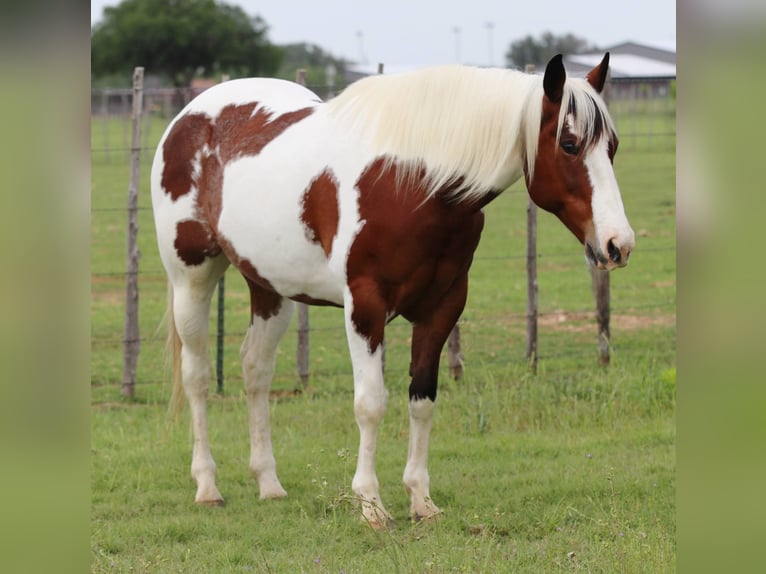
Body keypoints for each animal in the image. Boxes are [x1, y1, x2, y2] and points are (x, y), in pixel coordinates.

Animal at [150, 53, 634, 528]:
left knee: (256, 370)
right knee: (196, 377)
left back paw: (269, 483)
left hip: (268, 286)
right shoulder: (364, 307)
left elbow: (422, 399)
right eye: (569, 144)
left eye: (612, 147)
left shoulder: (442, 306)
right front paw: (370, 505)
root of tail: (191, 116)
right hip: (192, 278)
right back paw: (207, 486)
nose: (619, 244)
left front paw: (421, 500)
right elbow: (371, 404)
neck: (413, 182)